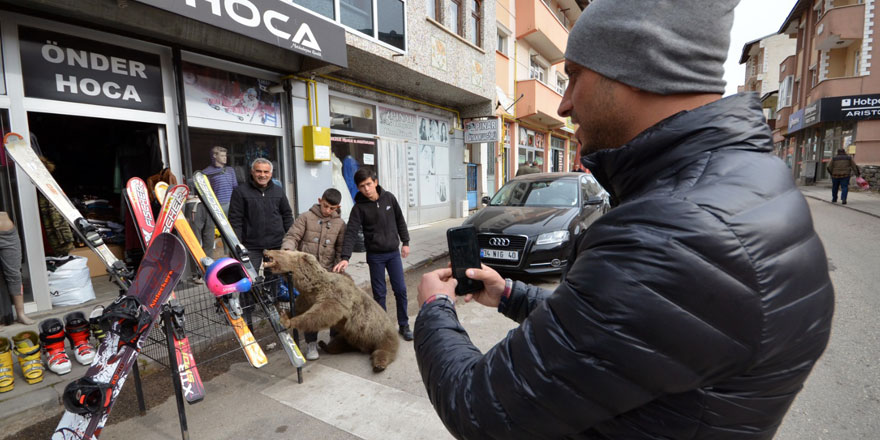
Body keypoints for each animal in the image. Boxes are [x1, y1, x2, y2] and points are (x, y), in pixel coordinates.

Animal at [262, 251, 398, 372]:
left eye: (282, 251)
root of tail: (364, 346)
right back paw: (324, 345)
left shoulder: (336, 296)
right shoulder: (308, 297)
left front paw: (289, 321)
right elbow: (300, 308)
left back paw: (379, 365)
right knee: (338, 343)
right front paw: (284, 314)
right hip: (349, 335)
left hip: (379, 333)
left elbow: (321, 314)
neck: (313, 286)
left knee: (384, 349)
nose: (266, 250)